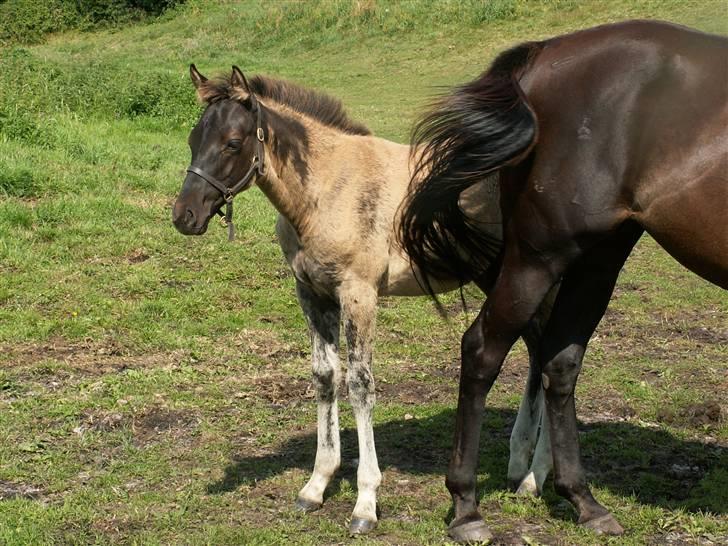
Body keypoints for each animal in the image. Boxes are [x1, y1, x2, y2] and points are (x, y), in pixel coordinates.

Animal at [173, 65, 556, 532]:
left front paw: (365, 503)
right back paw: (521, 468)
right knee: (537, 346)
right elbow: (324, 376)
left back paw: (536, 476)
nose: (185, 215)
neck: (327, 189)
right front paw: (316, 485)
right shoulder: (312, 292)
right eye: (193, 139)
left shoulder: (359, 293)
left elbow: (359, 383)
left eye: (232, 142)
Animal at [400, 19, 724, 540]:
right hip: (540, 256)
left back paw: (582, 500)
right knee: (484, 350)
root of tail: (543, 54)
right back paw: (467, 506)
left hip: (598, 259)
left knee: (559, 361)